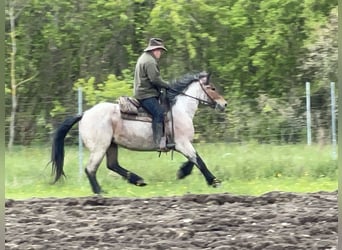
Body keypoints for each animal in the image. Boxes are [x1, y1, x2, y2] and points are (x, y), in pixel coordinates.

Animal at [50, 72, 227, 193]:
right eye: (212, 88)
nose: (224, 104)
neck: (180, 110)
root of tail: (84, 114)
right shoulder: (182, 143)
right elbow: (199, 160)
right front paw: (214, 181)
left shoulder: (182, 144)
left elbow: (193, 160)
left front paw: (182, 173)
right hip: (100, 147)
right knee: (90, 169)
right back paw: (99, 191)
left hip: (111, 145)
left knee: (112, 165)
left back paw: (138, 180)